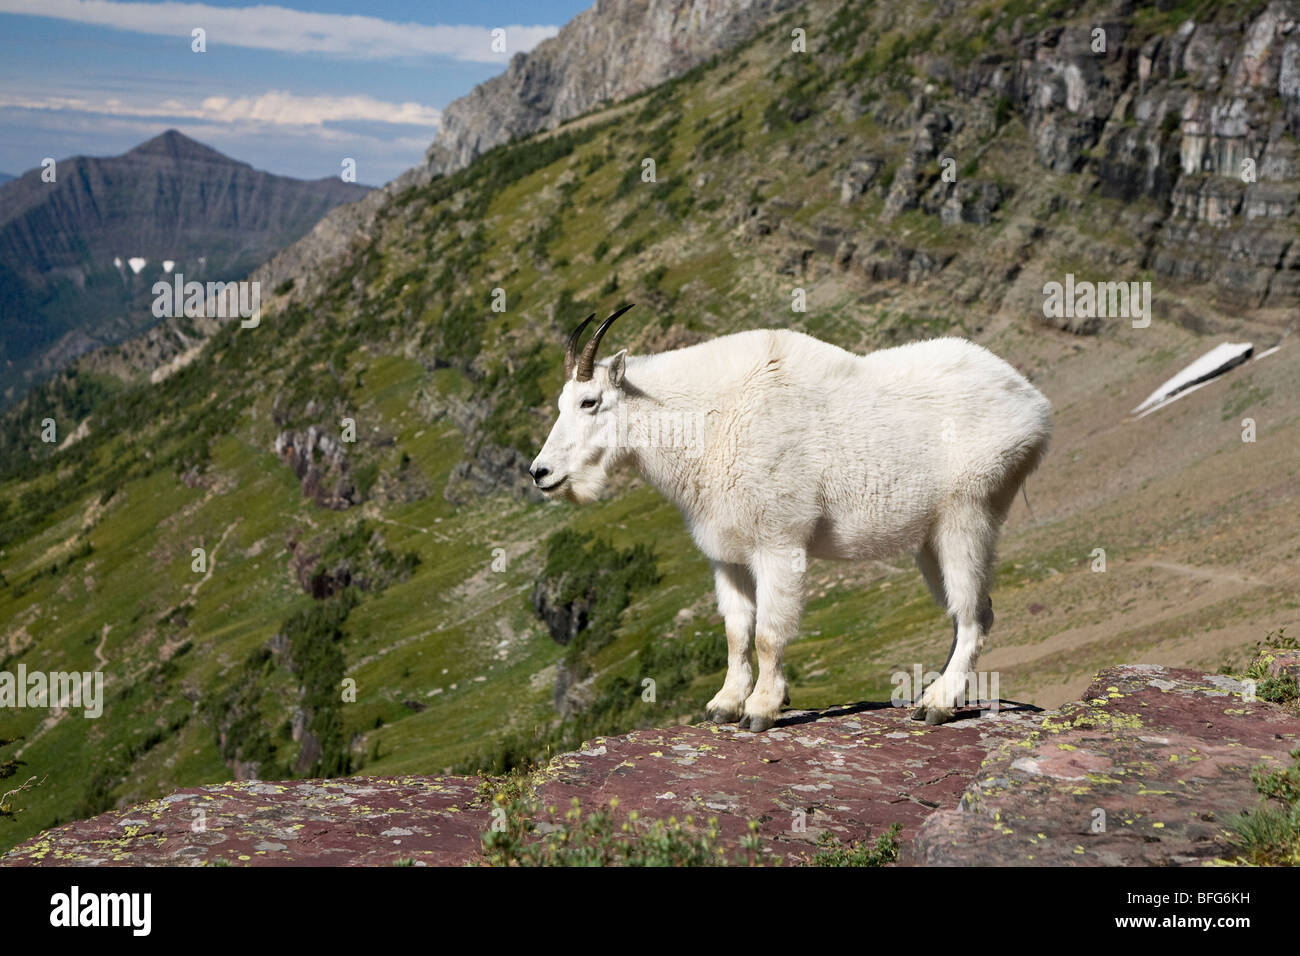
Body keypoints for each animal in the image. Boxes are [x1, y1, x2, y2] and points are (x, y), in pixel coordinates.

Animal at [533, 310, 1050, 728]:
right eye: (559, 404)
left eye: (589, 402)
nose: (541, 473)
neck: (710, 420)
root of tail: (1035, 406)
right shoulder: (728, 555)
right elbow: (736, 631)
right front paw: (724, 704)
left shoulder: (778, 543)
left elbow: (767, 633)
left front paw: (762, 709)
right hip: (929, 540)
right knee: (968, 610)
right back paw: (935, 692)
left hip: (969, 513)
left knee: (973, 613)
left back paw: (939, 703)